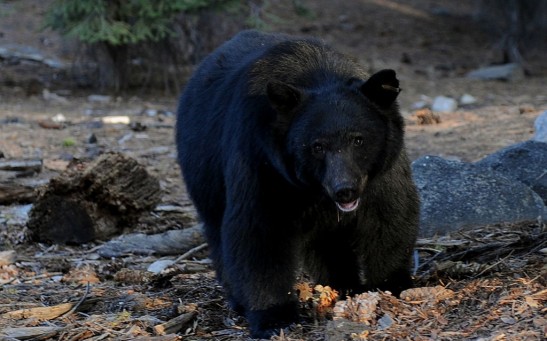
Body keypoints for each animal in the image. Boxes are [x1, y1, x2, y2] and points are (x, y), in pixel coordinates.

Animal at [176, 29, 420, 338]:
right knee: (218, 231)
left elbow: (389, 215)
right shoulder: (262, 161)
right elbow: (259, 230)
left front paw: (392, 284)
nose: (345, 190)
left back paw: (342, 284)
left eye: (358, 139)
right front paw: (273, 316)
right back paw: (239, 299)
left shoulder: (381, 171)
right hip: (204, 173)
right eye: (317, 146)